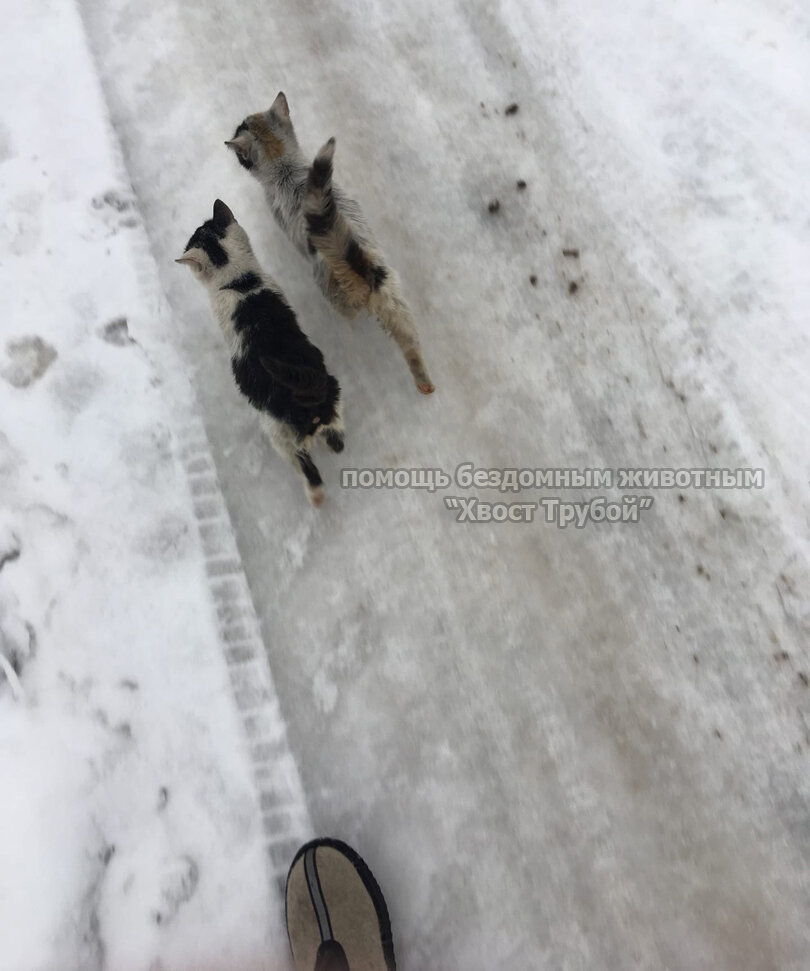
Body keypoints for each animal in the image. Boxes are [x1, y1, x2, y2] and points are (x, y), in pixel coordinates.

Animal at [175, 198, 342, 508]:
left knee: (307, 469)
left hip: (278, 433)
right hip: (330, 389)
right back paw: (334, 440)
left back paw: (315, 497)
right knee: (336, 432)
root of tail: (302, 392)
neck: (240, 281)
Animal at [221, 91, 436, 394]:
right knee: (411, 346)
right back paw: (424, 383)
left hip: (334, 294)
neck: (285, 167)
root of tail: (358, 264)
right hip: (397, 304)